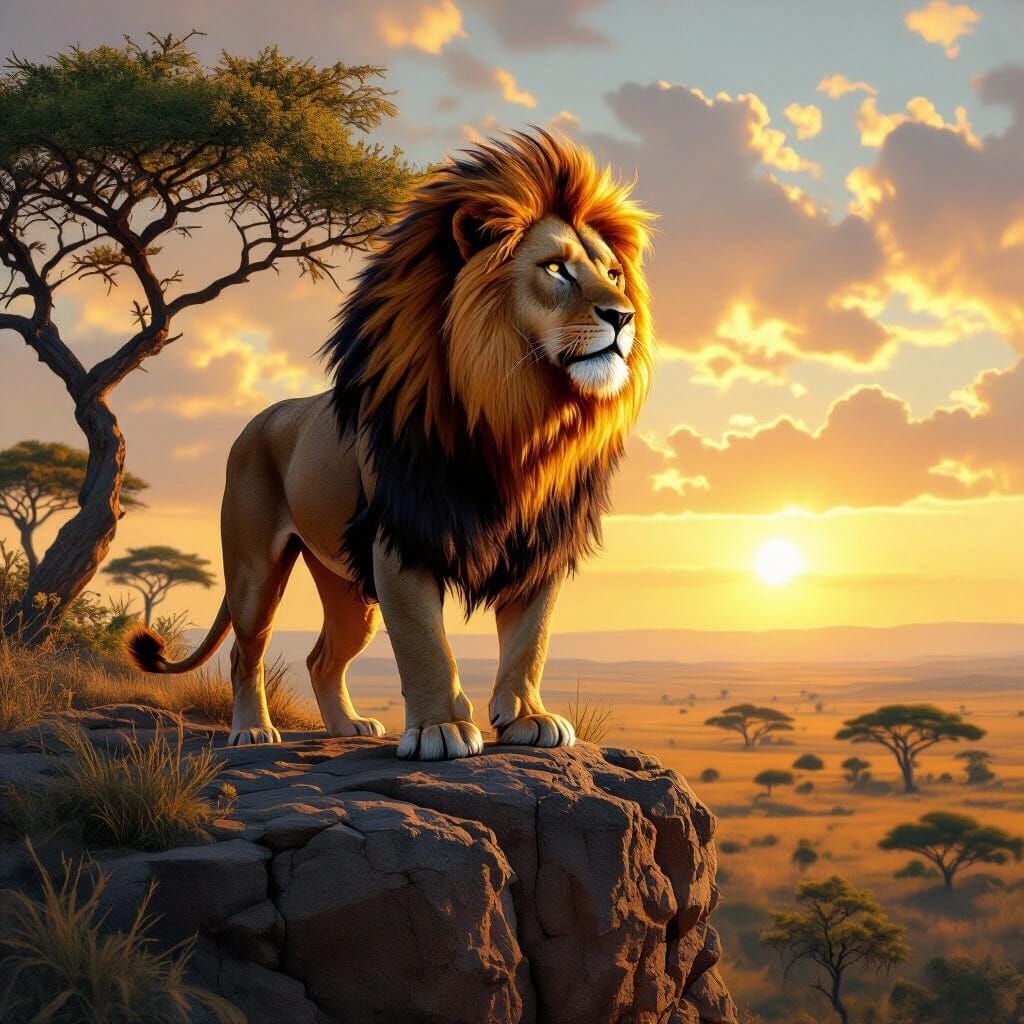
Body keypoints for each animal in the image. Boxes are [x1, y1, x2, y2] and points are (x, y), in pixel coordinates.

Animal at [127, 130, 654, 760]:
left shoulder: (540, 544)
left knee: (321, 657)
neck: (520, 420)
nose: (623, 316)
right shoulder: (401, 536)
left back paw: (346, 726)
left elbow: (533, 639)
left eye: (614, 274)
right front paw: (438, 730)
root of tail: (262, 417)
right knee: (244, 651)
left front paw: (529, 716)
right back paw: (252, 729)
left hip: (348, 590)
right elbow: (425, 643)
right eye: (556, 269)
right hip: (255, 569)